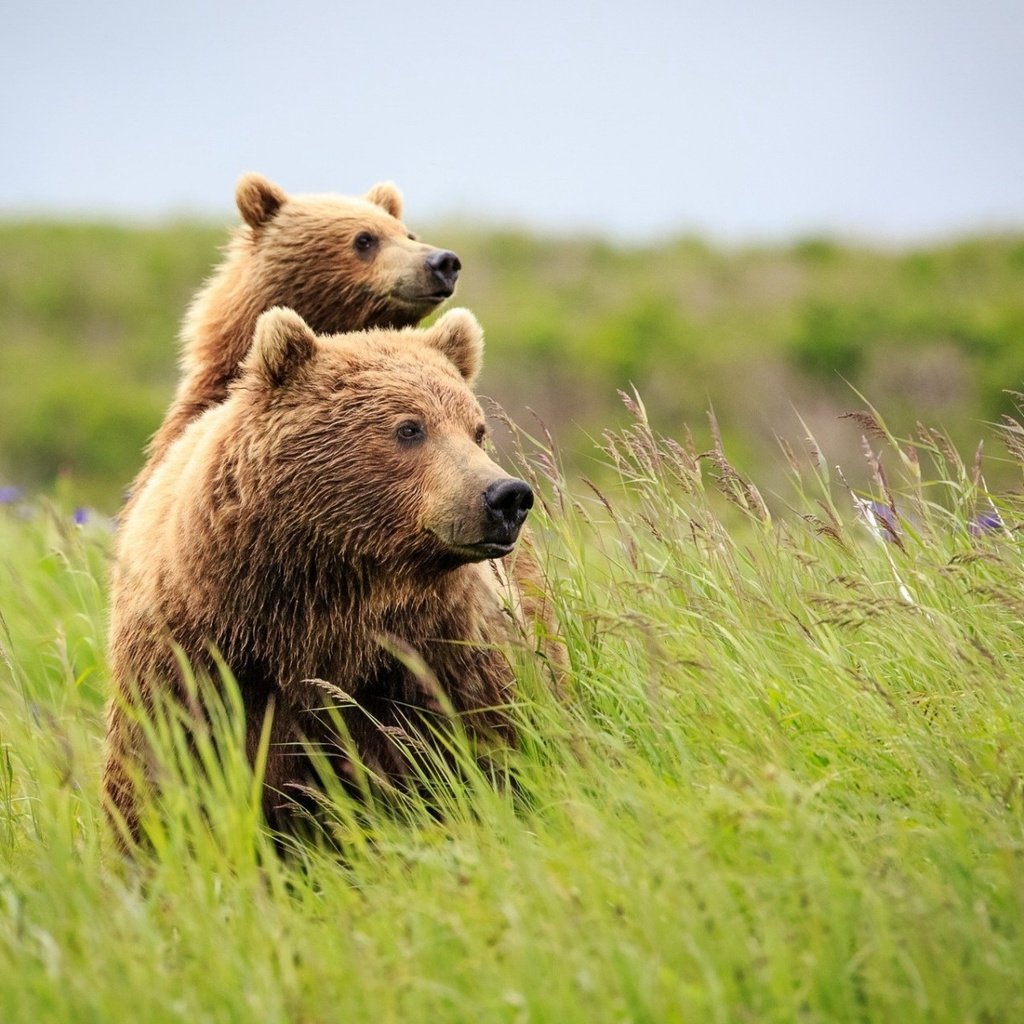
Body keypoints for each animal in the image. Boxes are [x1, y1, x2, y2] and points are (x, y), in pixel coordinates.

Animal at [108, 303, 557, 839]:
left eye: (476, 429)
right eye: (410, 427)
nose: (507, 496)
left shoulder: (437, 649)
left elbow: (488, 741)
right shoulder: (197, 662)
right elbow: (163, 776)